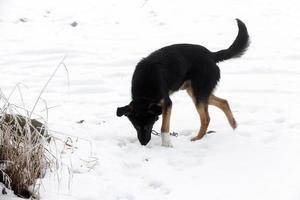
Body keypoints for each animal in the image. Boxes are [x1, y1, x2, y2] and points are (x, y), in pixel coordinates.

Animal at [116, 18, 250, 147]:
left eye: (149, 125)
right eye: (136, 126)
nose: (143, 143)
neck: (145, 89)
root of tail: (211, 55)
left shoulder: (167, 104)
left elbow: (164, 126)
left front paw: (166, 144)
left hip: (198, 93)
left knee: (206, 119)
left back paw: (197, 139)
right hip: (197, 92)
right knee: (223, 102)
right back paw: (233, 125)